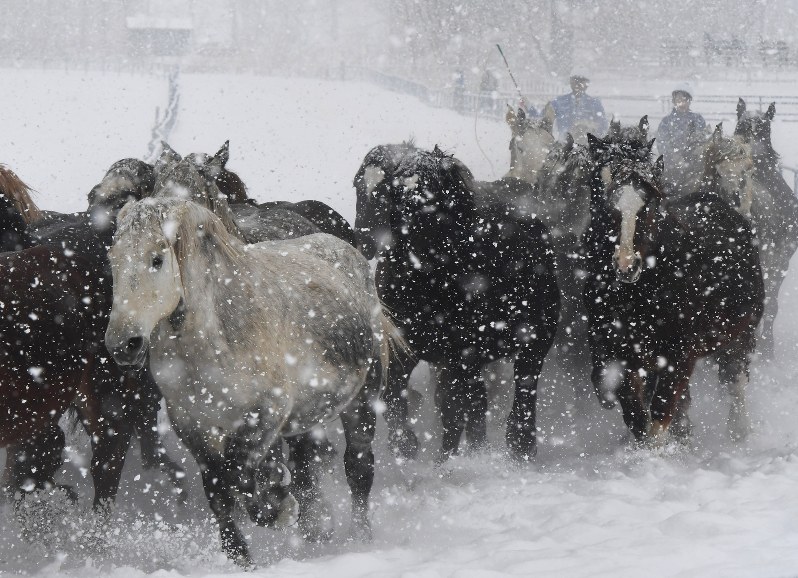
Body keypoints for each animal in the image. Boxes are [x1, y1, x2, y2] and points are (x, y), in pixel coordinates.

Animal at [104, 193, 391, 566]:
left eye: (156, 258)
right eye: (112, 259)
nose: (123, 344)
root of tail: (347, 252)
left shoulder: (266, 412)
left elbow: (238, 475)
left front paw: (278, 506)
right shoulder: (191, 423)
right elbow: (218, 489)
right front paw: (239, 554)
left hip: (362, 402)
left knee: (358, 468)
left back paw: (359, 537)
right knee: (307, 462)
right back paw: (317, 527)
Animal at [355, 145, 560, 462]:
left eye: (429, 197)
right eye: (359, 185)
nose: (366, 239)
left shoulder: (460, 354)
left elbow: (456, 409)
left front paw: (449, 460)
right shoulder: (404, 345)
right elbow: (396, 396)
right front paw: (405, 445)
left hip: (535, 339)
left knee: (523, 387)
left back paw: (520, 447)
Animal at [582, 128, 763, 443]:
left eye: (649, 203)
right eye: (603, 198)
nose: (627, 265)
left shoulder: (677, 354)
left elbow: (659, 413)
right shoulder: (619, 352)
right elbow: (634, 412)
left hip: (742, 333)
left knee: (736, 377)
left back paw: (738, 429)